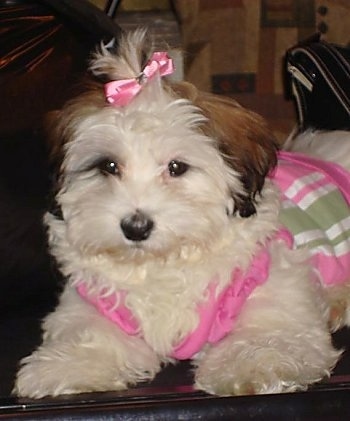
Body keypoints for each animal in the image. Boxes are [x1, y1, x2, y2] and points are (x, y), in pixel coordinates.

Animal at [15, 29, 350, 398]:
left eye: (177, 167)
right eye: (108, 166)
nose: (136, 227)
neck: (162, 263)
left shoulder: (270, 284)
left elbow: (269, 330)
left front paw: (255, 363)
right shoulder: (96, 302)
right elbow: (92, 334)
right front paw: (66, 366)